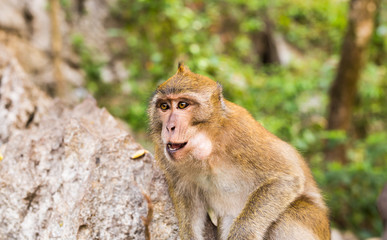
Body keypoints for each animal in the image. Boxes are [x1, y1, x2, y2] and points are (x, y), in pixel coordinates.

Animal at [149, 62, 330, 239]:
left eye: (182, 105)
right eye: (164, 106)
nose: (169, 127)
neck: (209, 147)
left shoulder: (241, 132)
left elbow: (286, 177)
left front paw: (243, 233)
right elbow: (188, 199)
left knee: (285, 218)